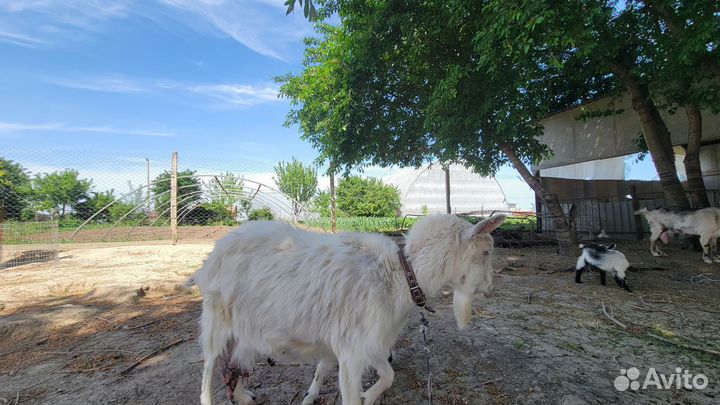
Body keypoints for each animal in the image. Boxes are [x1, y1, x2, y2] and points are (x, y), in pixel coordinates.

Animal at [192, 214, 506, 405]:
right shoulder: (352, 348)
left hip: (244, 327)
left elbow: (387, 375)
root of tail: (215, 251)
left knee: (232, 362)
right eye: (485, 252)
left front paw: (368, 395)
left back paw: (243, 396)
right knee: (210, 366)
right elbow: (352, 394)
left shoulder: (369, 343)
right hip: (216, 320)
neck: (396, 276)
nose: (491, 289)